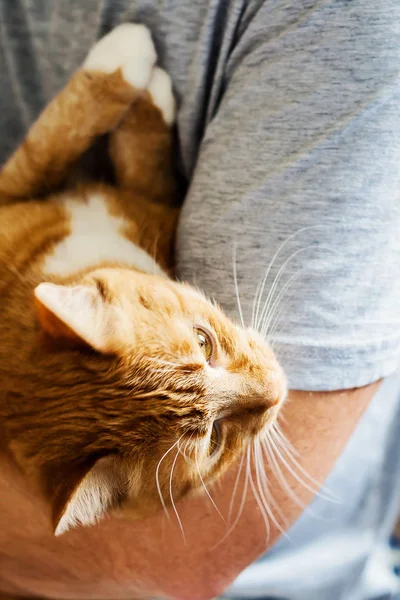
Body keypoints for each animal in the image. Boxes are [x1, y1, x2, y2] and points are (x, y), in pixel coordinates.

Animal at [0, 25, 288, 536]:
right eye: (214, 440)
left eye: (203, 341)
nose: (275, 390)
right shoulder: (157, 204)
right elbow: (117, 158)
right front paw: (133, 65)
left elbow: (54, 144)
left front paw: (139, 80)